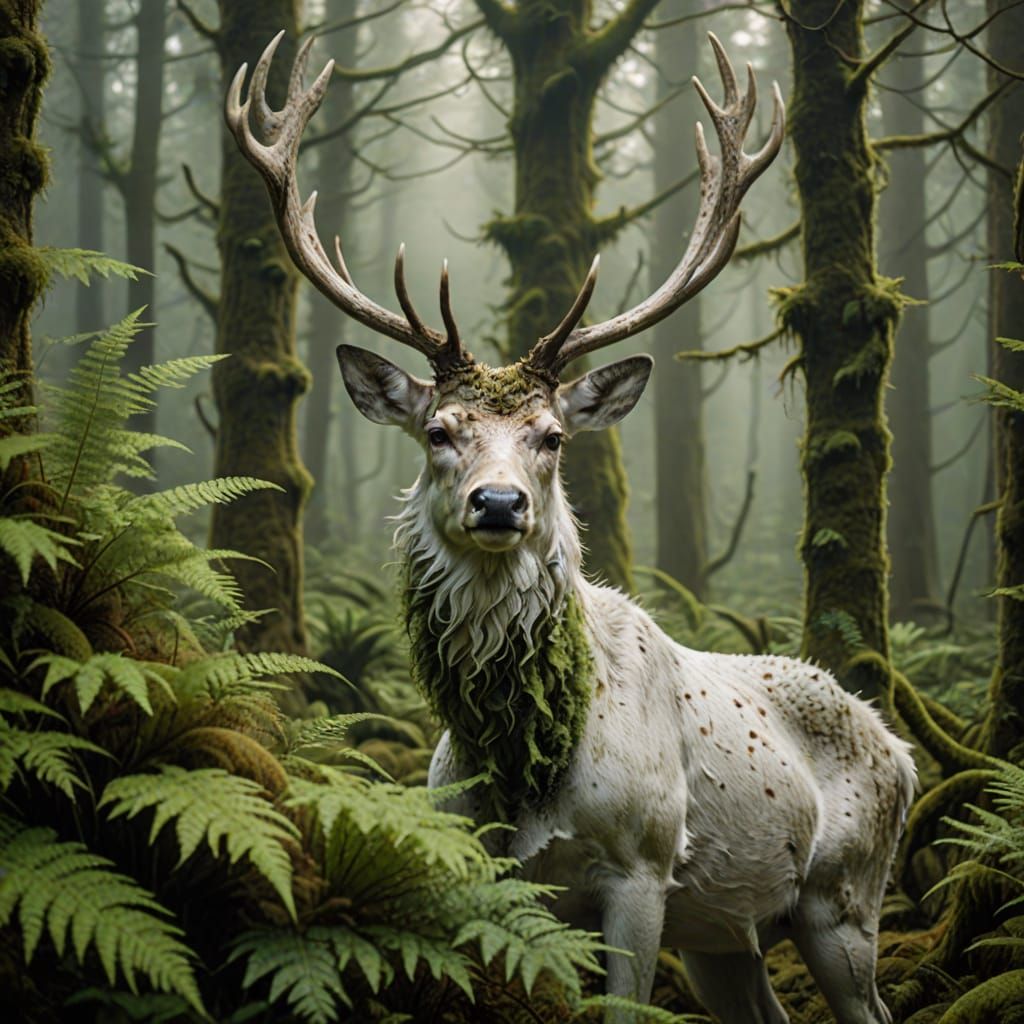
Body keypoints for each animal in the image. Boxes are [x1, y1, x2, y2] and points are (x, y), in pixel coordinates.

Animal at [226, 31, 918, 1024]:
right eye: (438, 431)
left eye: (551, 436)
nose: (499, 504)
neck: (527, 777)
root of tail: (902, 749)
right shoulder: (489, 874)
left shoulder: (642, 866)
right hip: (726, 933)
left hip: (845, 898)